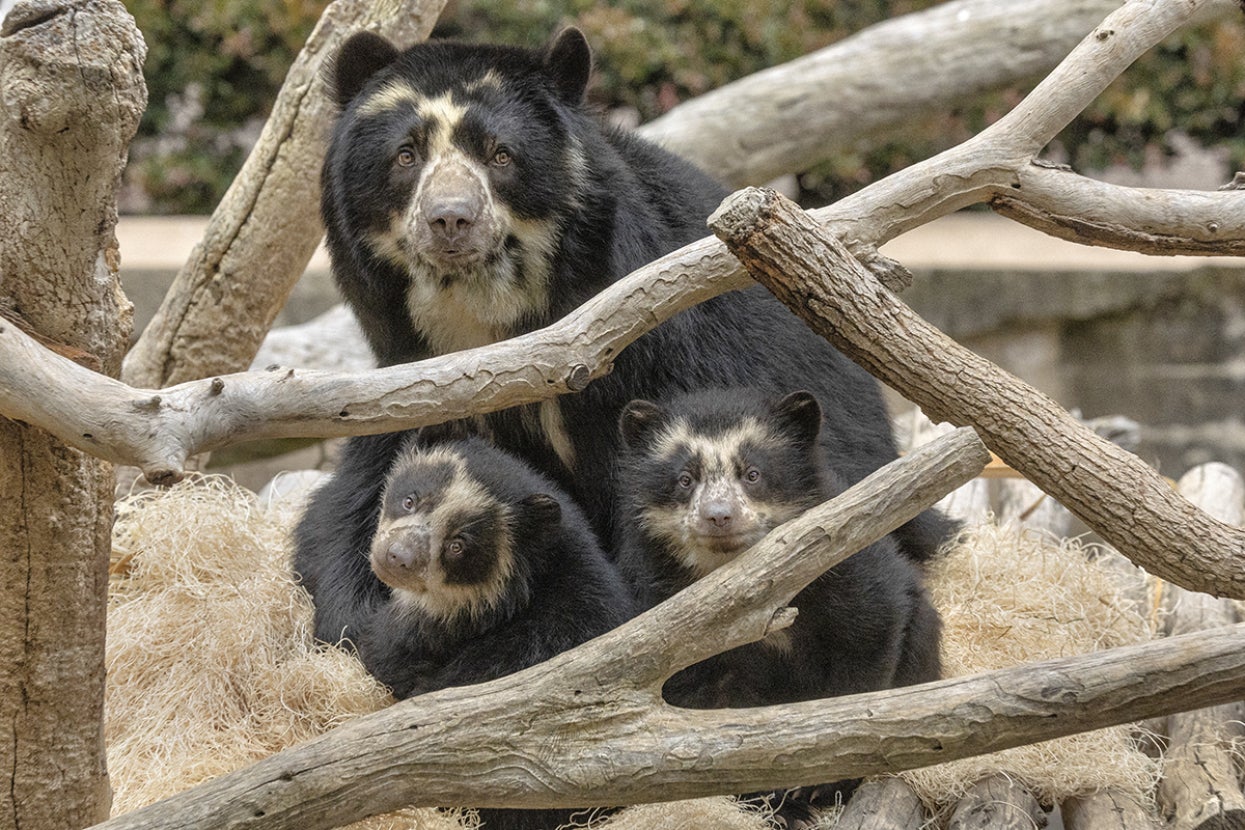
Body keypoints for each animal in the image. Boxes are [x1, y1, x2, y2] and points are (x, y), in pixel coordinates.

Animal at [304, 26, 954, 569]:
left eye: (501, 155)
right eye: (406, 155)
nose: (450, 220)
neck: (484, 316)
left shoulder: (652, 353)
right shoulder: (409, 375)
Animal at [614, 387, 943, 825]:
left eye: (752, 474)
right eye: (685, 479)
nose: (718, 517)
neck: (747, 580)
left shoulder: (844, 568)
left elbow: (869, 635)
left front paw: (826, 782)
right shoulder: (663, 604)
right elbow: (701, 701)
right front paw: (776, 803)